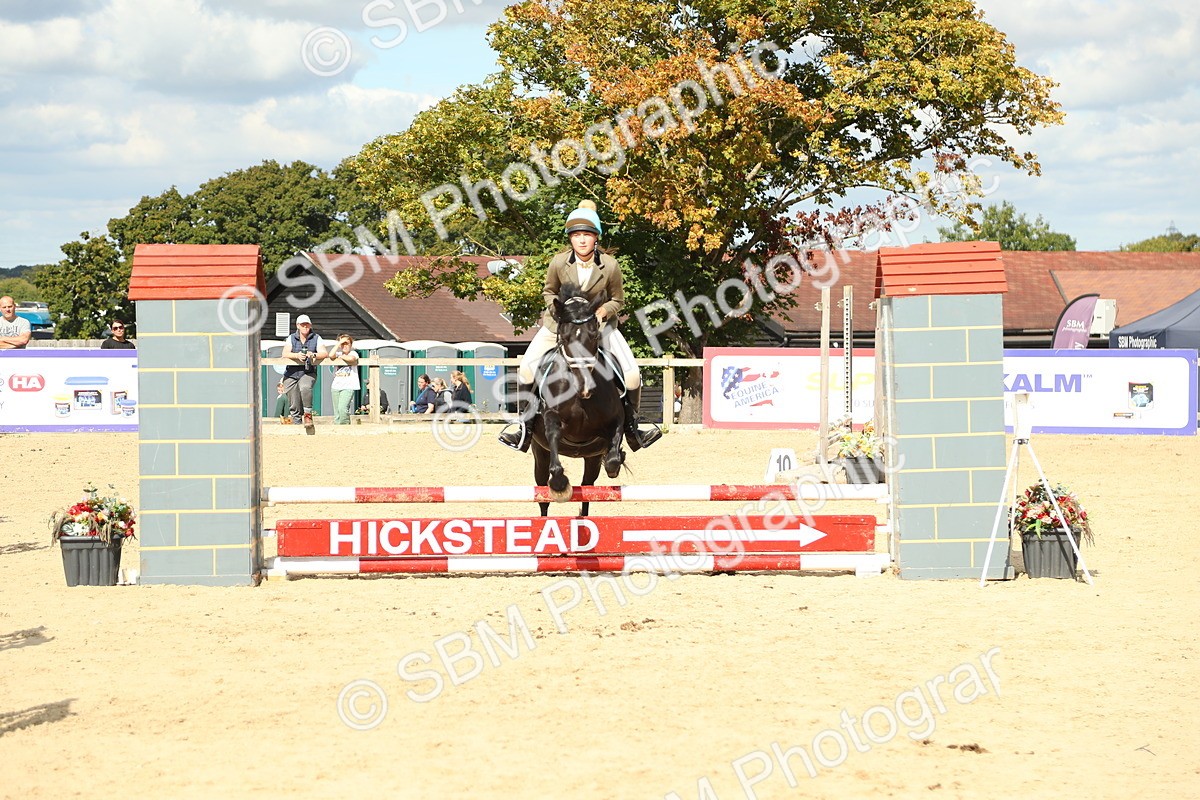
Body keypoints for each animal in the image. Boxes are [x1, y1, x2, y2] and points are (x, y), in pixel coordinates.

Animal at [530, 283, 626, 517]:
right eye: (564, 338)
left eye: (594, 337)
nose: (584, 387)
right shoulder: (551, 418)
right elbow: (554, 455)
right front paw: (560, 484)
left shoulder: (617, 420)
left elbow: (612, 461)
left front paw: (618, 459)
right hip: (539, 452)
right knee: (542, 492)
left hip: (591, 457)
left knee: (588, 487)